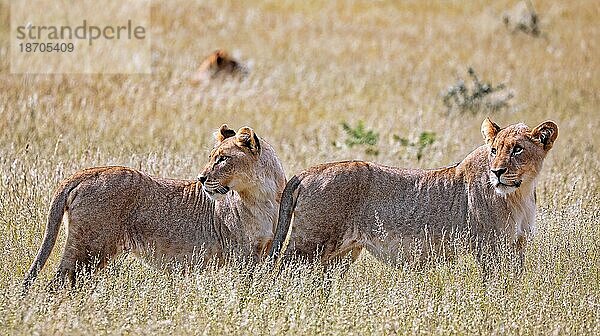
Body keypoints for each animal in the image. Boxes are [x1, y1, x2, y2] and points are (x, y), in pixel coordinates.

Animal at [23, 124, 286, 290]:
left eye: (223, 159)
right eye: (212, 157)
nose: (201, 178)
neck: (262, 196)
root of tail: (87, 172)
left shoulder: (263, 250)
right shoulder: (242, 256)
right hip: (89, 248)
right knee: (58, 283)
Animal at [268, 118, 556, 272]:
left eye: (517, 149)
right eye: (494, 150)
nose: (496, 171)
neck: (520, 194)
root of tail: (307, 172)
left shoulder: (517, 246)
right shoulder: (489, 247)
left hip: (340, 255)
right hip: (310, 244)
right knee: (283, 272)